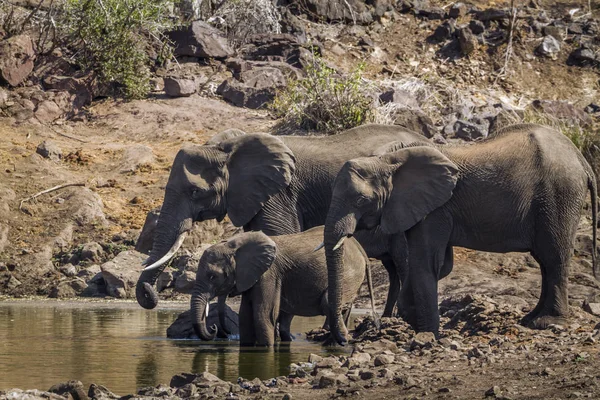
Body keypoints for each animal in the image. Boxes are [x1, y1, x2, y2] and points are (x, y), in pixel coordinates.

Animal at [135, 123, 428, 324]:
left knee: (403, 261)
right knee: (394, 268)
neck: (227, 148)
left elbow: (278, 237)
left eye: (195, 192)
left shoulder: (279, 195)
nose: (151, 295)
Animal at [190, 227, 372, 346]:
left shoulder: (269, 273)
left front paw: (266, 351)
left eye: (213, 276)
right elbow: (245, 316)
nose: (215, 328)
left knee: (328, 303)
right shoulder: (252, 276)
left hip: (350, 273)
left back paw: (342, 341)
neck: (233, 244)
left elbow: (263, 315)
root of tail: (359, 247)